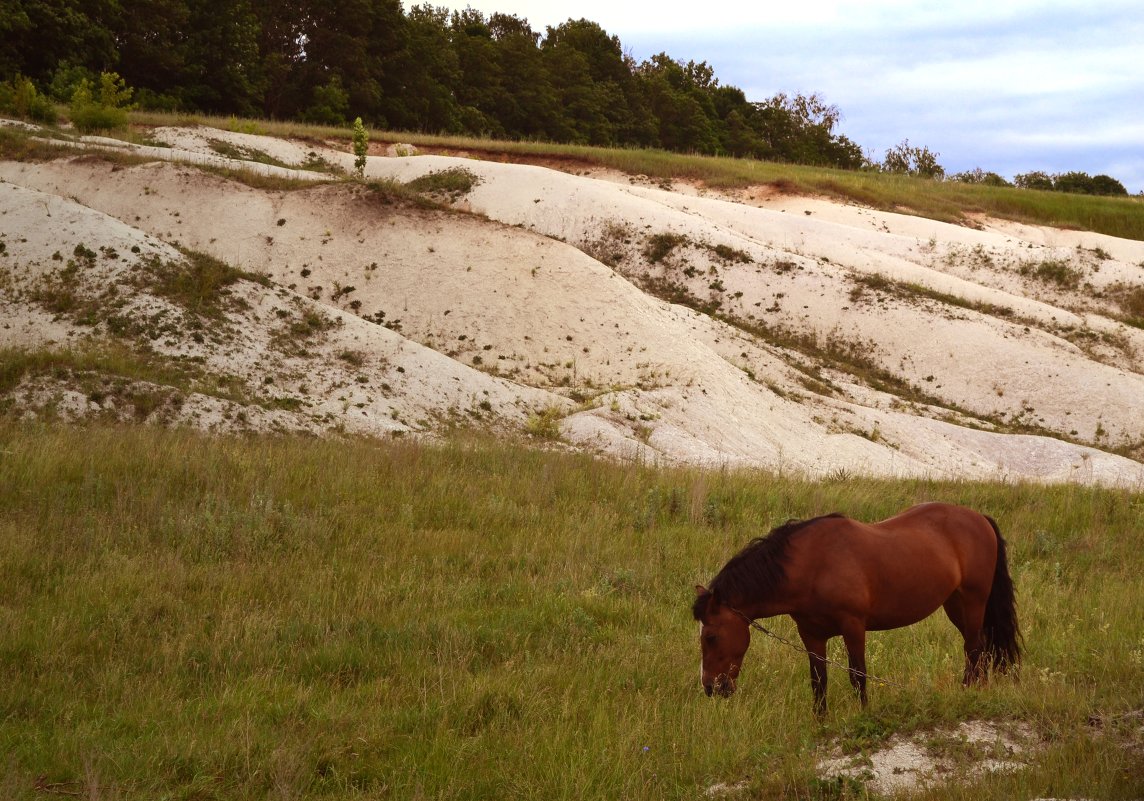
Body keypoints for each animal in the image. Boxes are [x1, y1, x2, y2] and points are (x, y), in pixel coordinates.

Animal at [686, 503, 1020, 718]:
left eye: (711, 637)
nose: (710, 687)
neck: (812, 565)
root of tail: (979, 518)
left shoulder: (854, 627)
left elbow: (858, 675)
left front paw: (863, 715)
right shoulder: (811, 635)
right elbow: (818, 680)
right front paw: (820, 722)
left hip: (973, 601)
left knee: (974, 649)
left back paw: (968, 691)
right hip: (954, 605)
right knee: (981, 648)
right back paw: (980, 690)